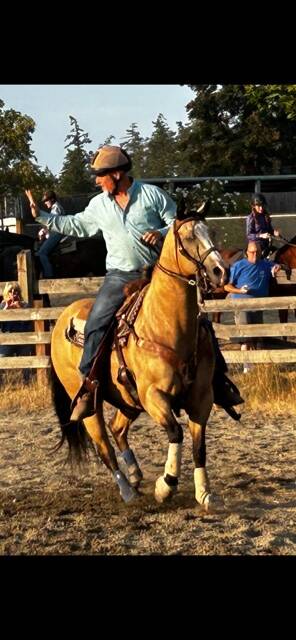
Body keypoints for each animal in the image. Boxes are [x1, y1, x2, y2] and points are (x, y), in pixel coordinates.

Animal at [51, 215, 227, 510]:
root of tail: (63, 317)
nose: (220, 271)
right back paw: (127, 490)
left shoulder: (201, 398)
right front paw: (165, 486)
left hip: (127, 399)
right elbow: (176, 433)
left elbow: (199, 446)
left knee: (117, 429)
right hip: (90, 402)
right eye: (189, 237)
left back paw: (134, 475)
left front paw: (204, 492)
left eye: (211, 231)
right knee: (104, 446)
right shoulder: (153, 396)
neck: (167, 325)